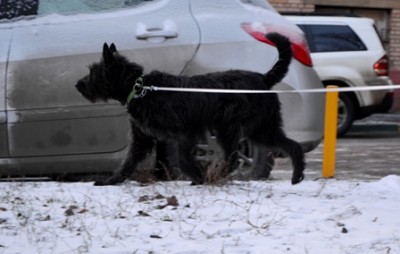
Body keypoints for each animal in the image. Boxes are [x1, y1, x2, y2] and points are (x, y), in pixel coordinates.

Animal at [75, 32, 304, 186]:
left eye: (94, 72)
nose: (78, 85)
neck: (140, 88)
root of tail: (264, 79)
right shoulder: (142, 138)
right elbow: (128, 162)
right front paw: (111, 181)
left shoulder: (186, 133)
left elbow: (183, 160)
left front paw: (198, 176)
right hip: (262, 129)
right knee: (294, 146)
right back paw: (297, 175)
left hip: (229, 128)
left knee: (232, 159)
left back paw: (216, 176)